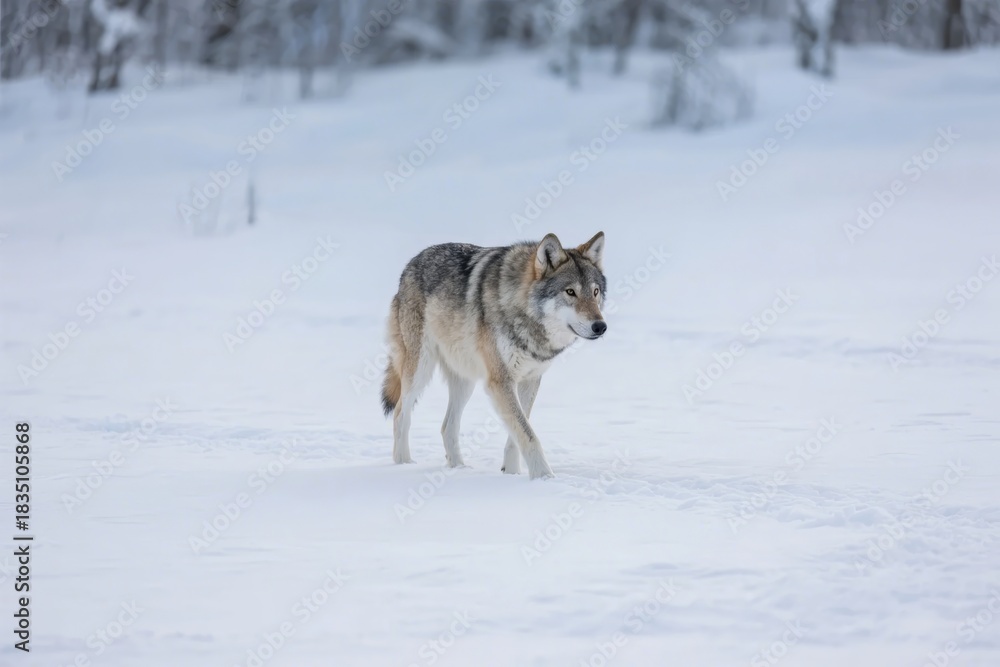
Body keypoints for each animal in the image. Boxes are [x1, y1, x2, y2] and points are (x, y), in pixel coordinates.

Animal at [381, 232, 607, 480]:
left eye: (595, 292)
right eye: (570, 292)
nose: (600, 326)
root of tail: (411, 264)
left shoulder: (529, 379)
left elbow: (518, 432)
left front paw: (512, 473)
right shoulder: (500, 381)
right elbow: (529, 436)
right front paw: (544, 478)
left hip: (465, 380)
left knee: (447, 426)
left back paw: (459, 469)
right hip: (420, 369)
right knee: (400, 414)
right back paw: (404, 466)